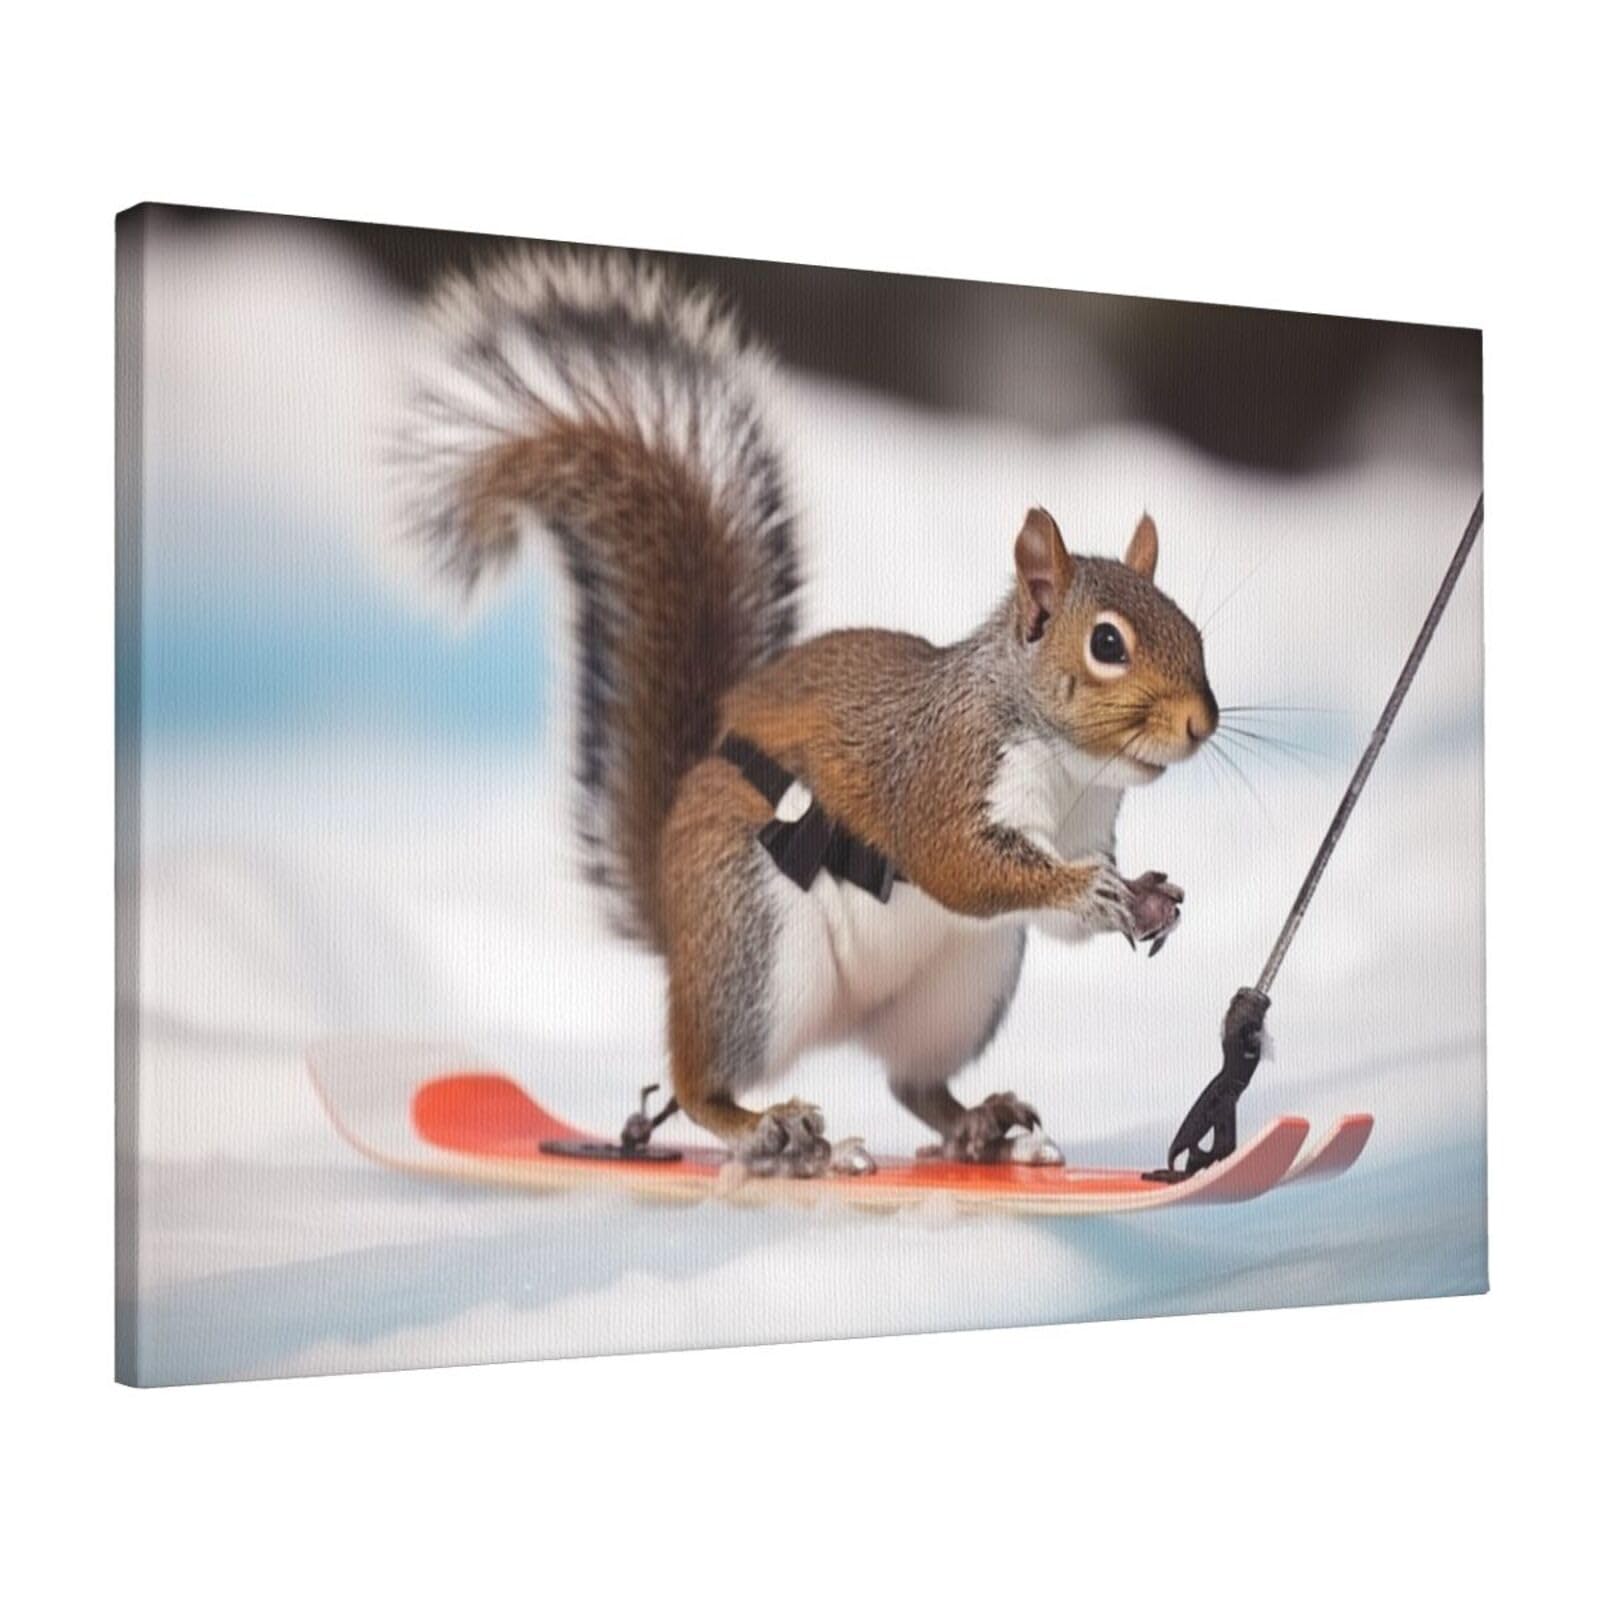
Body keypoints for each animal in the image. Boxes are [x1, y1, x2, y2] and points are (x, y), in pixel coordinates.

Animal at [394, 250, 1218, 1175]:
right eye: (1107, 643)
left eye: (1193, 629)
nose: (1201, 723)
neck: (1073, 771)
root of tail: (677, 923)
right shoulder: (941, 774)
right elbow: (962, 865)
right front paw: (1089, 889)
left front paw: (1148, 895)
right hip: (758, 952)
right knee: (696, 1083)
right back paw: (769, 1129)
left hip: (961, 986)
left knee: (913, 1084)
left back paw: (979, 1124)